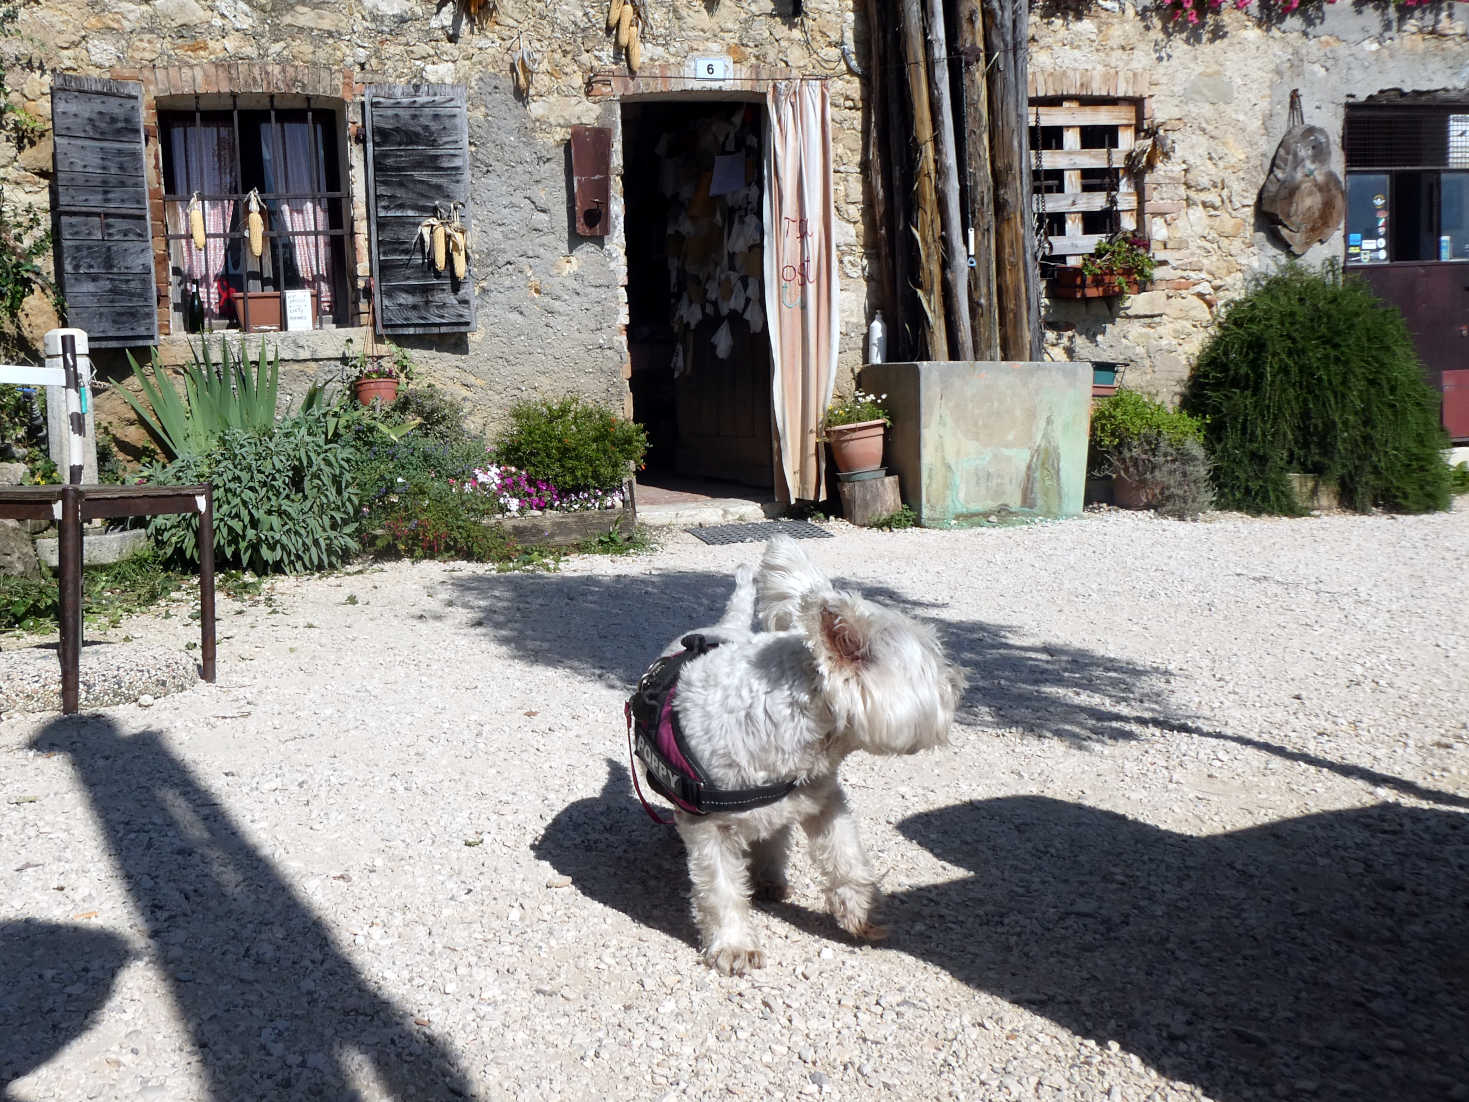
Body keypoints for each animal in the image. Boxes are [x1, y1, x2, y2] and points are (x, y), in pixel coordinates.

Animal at [628, 537, 963, 975]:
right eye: (933, 666)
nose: (959, 684)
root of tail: (724, 627)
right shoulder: (709, 828)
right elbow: (720, 888)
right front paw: (733, 945)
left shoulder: (823, 798)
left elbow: (845, 857)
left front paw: (860, 912)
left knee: (773, 833)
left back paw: (769, 876)